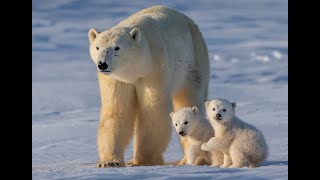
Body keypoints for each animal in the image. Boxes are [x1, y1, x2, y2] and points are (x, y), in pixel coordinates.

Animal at [87, 5, 209, 169]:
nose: (103, 64)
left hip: (194, 60)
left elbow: (153, 110)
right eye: (97, 47)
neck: (136, 69)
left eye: (117, 48)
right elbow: (117, 111)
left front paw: (145, 161)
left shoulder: (154, 67)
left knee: (189, 98)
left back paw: (186, 159)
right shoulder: (116, 80)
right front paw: (110, 161)